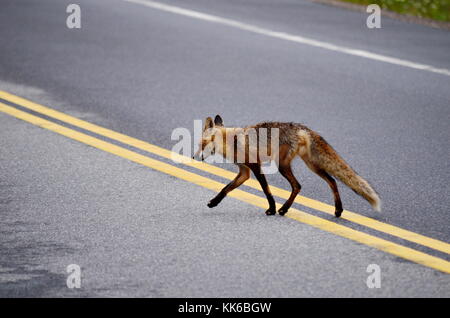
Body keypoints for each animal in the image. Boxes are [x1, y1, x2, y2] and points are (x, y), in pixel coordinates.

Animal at [192, 115, 380, 217]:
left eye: (202, 143)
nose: (193, 157)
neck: (233, 141)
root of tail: (302, 128)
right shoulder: (245, 172)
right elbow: (226, 189)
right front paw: (214, 202)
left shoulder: (255, 166)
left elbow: (266, 190)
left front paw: (272, 209)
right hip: (311, 165)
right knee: (332, 181)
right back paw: (338, 210)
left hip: (282, 165)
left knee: (298, 186)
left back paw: (283, 209)